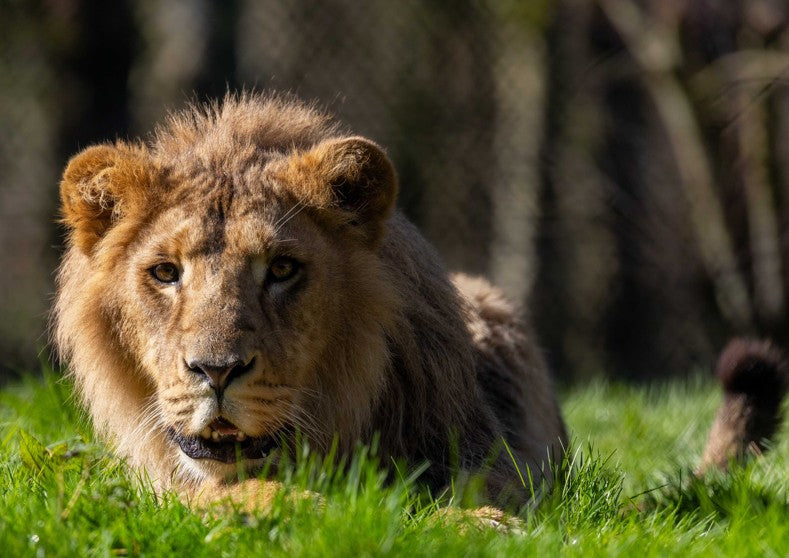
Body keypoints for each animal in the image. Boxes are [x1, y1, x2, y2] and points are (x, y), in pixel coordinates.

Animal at [53, 93, 787, 510]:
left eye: (283, 269)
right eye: (165, 272)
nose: (216, 371)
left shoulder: (492, 452)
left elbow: (485, 499)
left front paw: (480, 524)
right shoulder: (170, 491)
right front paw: (300, 505)